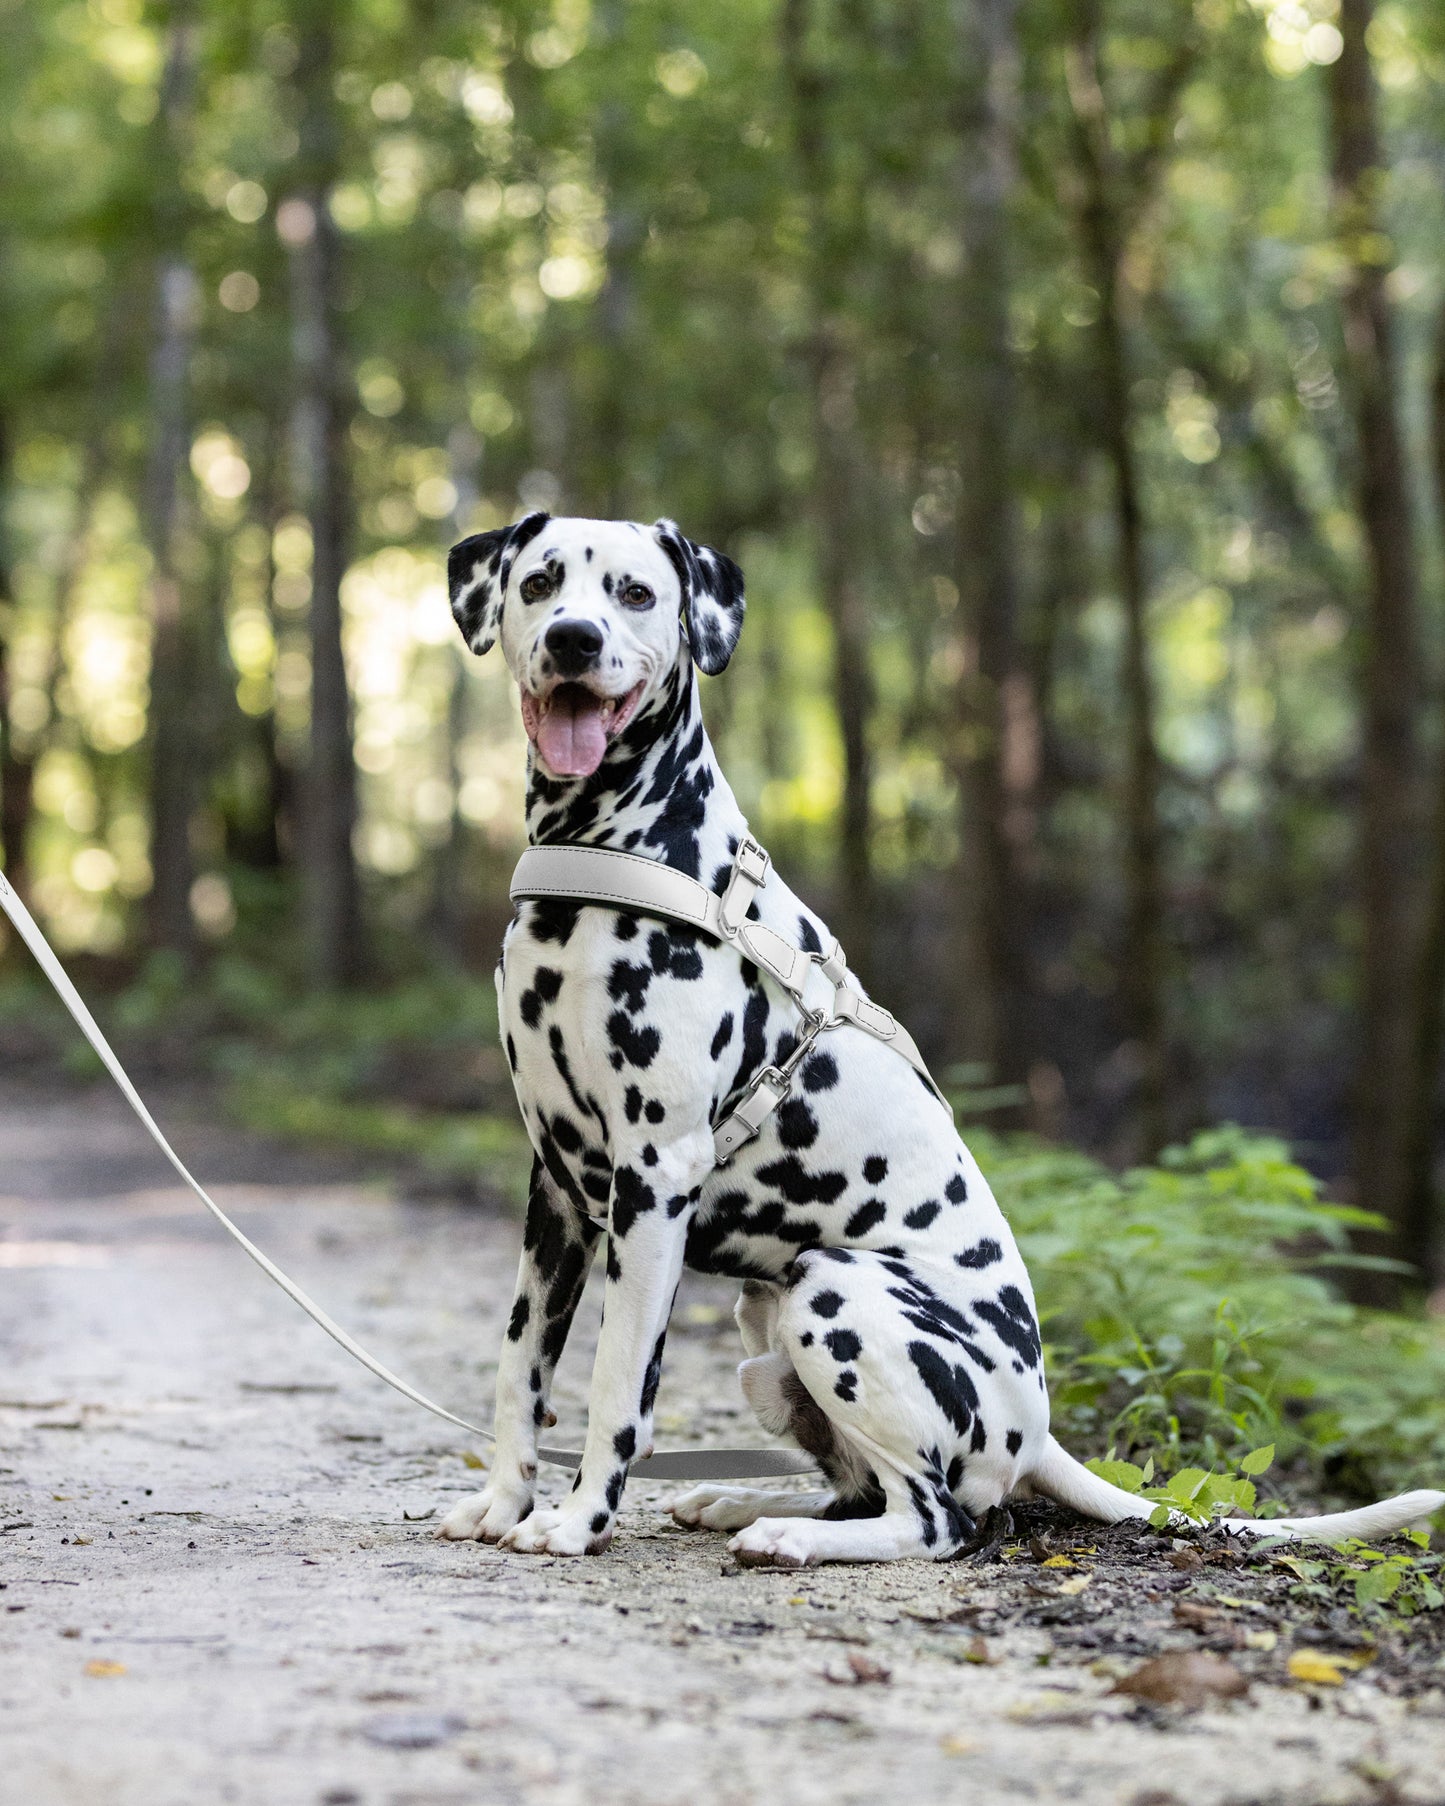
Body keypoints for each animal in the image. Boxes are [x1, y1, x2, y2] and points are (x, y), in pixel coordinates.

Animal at [435, 512, 1445, 1567]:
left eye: (634, 594)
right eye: (541, 582)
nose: (572, 641)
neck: (606, 855)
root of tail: (1038, 1431)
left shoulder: (652, 1179)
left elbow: (616, 1384)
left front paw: (577, 1519)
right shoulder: (557, 1187)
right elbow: (519, 1368)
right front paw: (502, 1503)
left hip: (832, 1291)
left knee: (935, 1521)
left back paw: (788, 1535)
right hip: (766, 1328)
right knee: (857, 1491)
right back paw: (744, 1503)